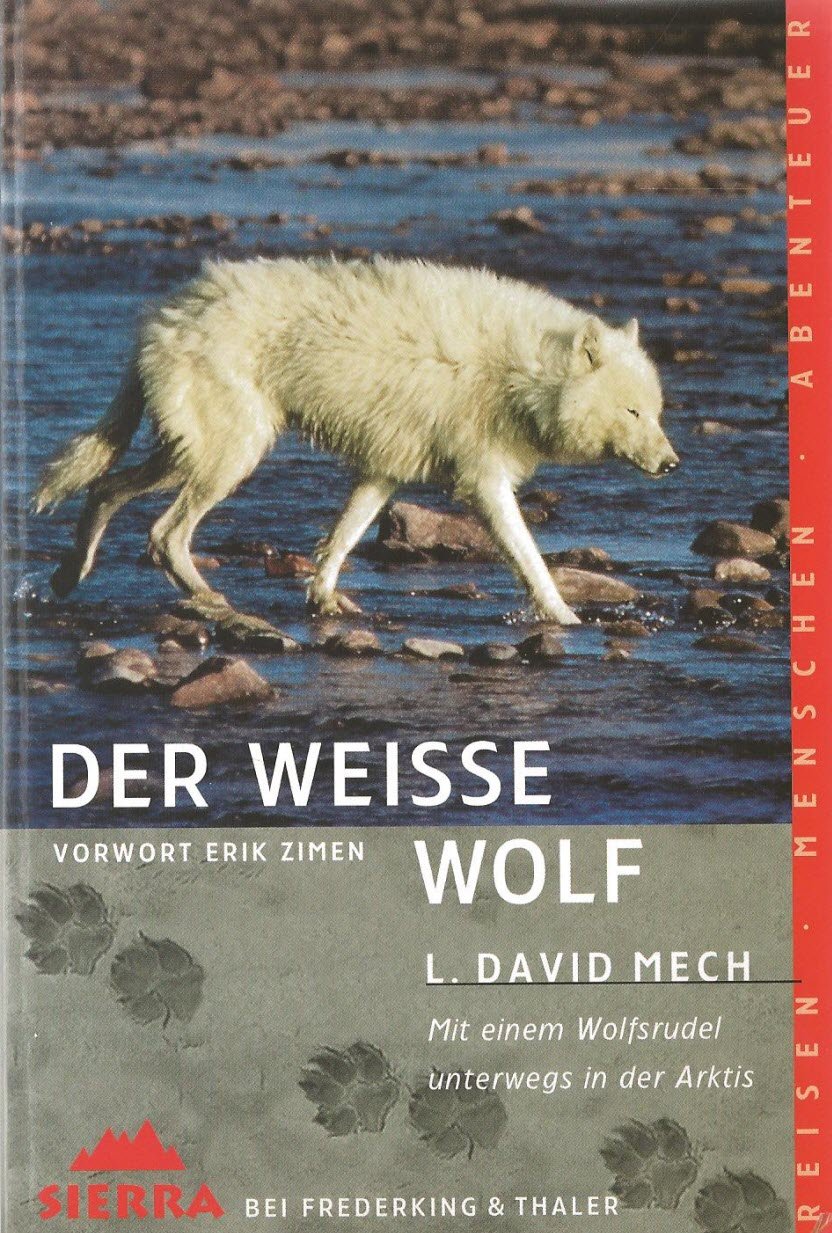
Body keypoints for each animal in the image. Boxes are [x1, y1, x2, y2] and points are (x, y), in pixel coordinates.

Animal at [35, 256, 678, 626]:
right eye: (632, 411)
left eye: (655, 412)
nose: (672, 464)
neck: (523, 375)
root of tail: (160, 314)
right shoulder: (483, 479)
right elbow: (529, 557)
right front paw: (565, 615)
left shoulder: (385, 468)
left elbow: (341, 540)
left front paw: (323, 599)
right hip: (231, 456)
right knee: (164, 533)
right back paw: (214, 601)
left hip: (193, 452)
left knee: (106, 488)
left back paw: (69, 577)